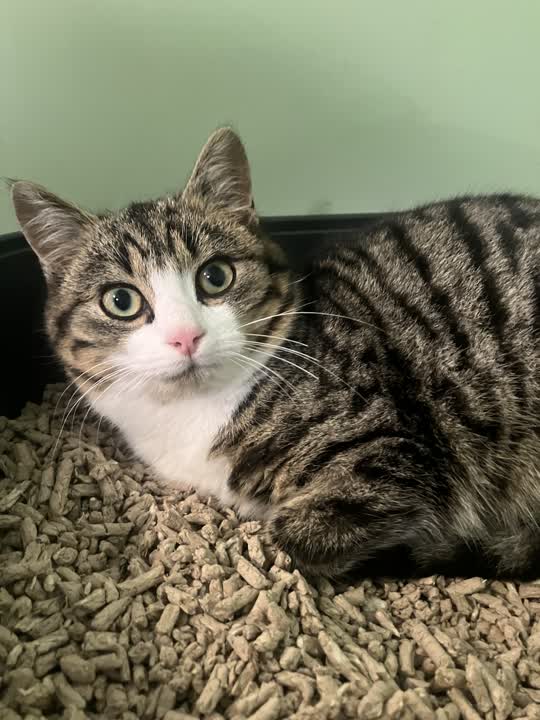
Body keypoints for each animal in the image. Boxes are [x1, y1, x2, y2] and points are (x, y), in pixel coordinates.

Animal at [11, 127, 540, 580]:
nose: (186, 337)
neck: (190, 418)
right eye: (121, 301)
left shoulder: (392, 449)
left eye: (215, 276)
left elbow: (293, 534)